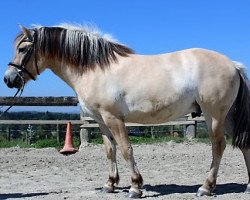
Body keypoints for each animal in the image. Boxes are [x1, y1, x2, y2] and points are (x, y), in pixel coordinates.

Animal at [2, 24, 250, 198]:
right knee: (244, 145)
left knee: (218, 146)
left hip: (214, 115)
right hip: (227, 116)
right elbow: (109, 151)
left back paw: (206, 187)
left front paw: (135, 187)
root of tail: (233, 64)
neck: (95, 69)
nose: (8, 79)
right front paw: (110, 184)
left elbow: (125, 150)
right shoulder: (101, 120)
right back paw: (247, 186)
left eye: (23, 49)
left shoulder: (114, 118)